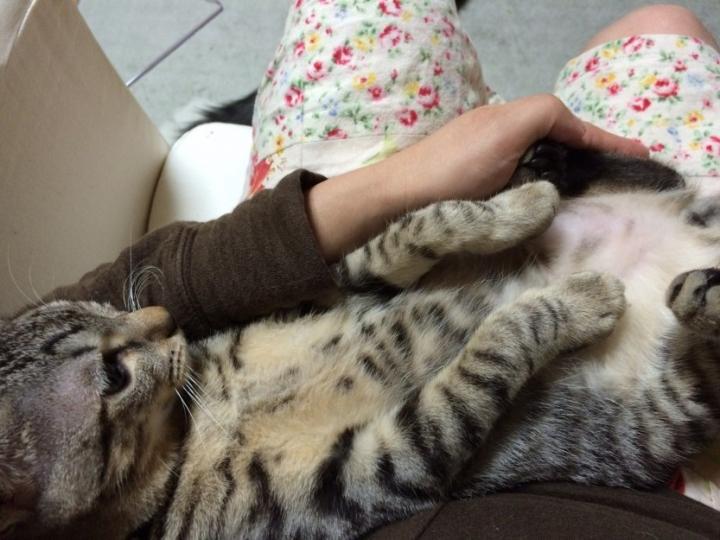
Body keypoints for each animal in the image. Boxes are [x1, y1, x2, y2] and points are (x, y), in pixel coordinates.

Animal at [2, 145, 720, 539]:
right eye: (115, 376)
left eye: (92, 305)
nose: (164, 317)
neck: (201, 421)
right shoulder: (380, 464)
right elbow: (493, 345)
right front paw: (577, 299)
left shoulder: (342, 282)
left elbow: (423, 226)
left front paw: (521, 207)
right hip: (656, 415)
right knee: (701, 370)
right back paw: (694, 294)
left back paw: (548, 165)